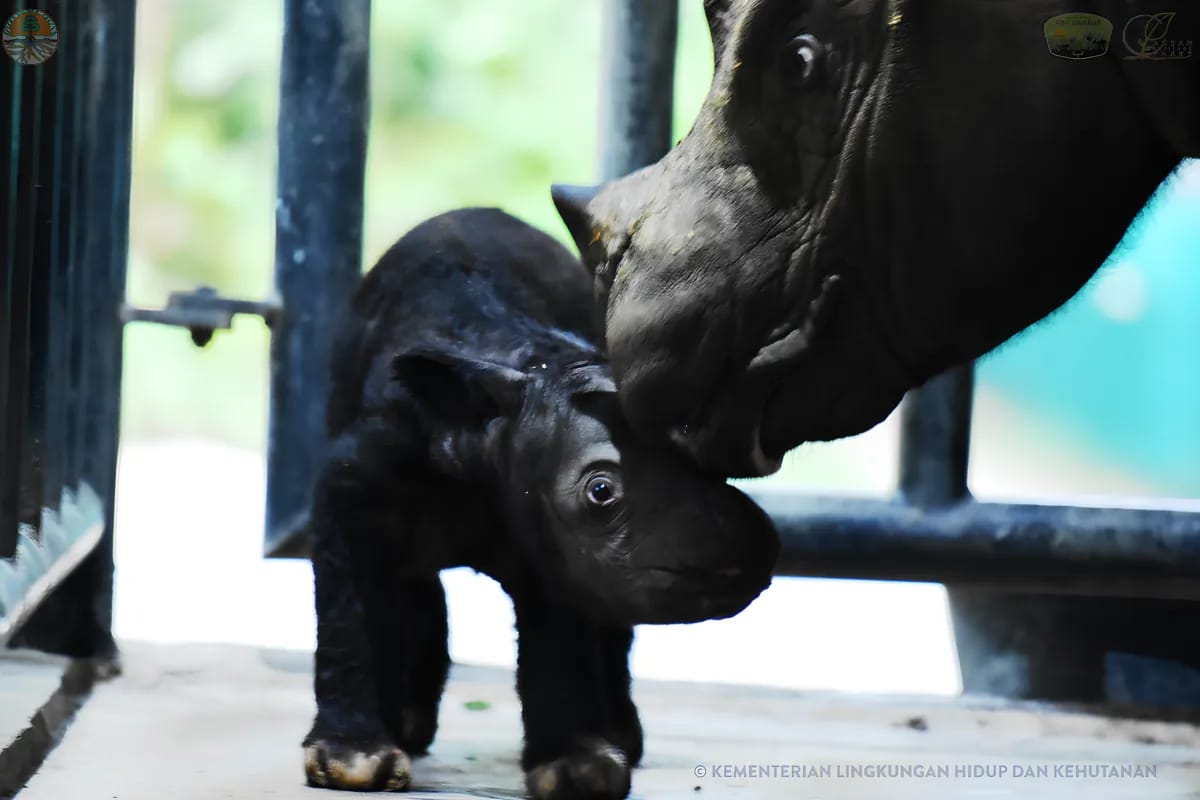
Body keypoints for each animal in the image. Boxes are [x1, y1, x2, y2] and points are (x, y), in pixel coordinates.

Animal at [302, 209, 777, 796]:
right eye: (601, 491)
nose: (754, 546)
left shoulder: (557, 547)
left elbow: (560, 633)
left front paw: (576, 768)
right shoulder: (350, 487)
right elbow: (346, 609)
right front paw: (353, 757)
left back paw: (619, 735)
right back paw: (407, 724)